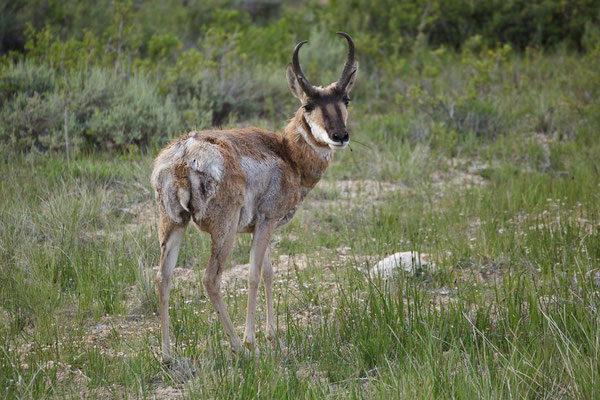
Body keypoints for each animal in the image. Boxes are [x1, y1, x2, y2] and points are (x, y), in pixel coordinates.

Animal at [151, 32, 356, 360]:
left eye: (345, 99)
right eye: (308, 104)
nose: (340, 136)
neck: (286, 153)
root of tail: (186, 152)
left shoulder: (263, 227)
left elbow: (270, 272)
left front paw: (272, 336)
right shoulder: (266, 221)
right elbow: (254, 274)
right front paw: (253, 340)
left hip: (172, 224)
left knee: (163, 276)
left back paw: (168, 355)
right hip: (223, 232)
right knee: (211, 278)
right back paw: (239, 347)